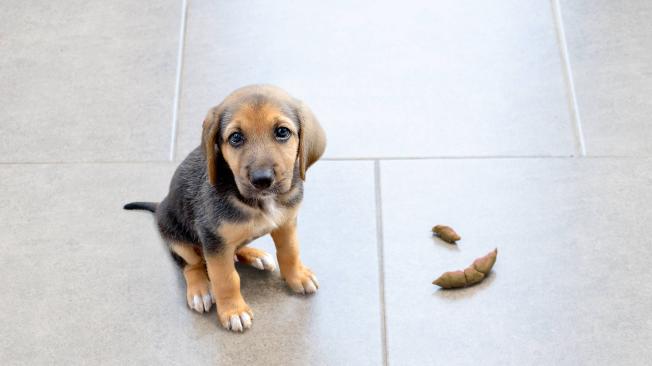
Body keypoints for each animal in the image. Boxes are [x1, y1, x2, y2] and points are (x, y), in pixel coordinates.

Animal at [123, 85, 326, 332]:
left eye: (282, 132)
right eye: (236, 138)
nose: (262, 180)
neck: (259, 202)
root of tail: (160, 204)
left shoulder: (286, 223)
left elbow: (290, 251)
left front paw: (297, 276)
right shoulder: (213, 239)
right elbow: (226, 278)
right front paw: (233, 311)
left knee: (234, 250)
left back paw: (255, 254)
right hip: (176, 236)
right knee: (191, 264)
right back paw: (200, 289)